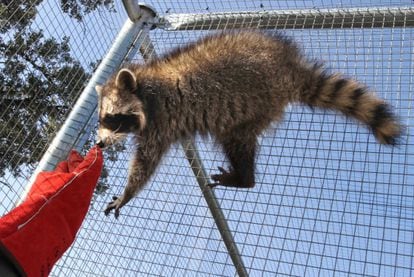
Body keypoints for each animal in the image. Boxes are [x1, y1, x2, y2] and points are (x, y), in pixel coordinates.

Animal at [96, 29, 402, 216]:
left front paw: (127, 193)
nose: (99, 143)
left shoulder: (160, 120)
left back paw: (244, 178)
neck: (144, 84)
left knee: (236, 141)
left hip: (254, 102)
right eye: (101, 118)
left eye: (112, 118)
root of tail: (290, 71)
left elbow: (145, 164)